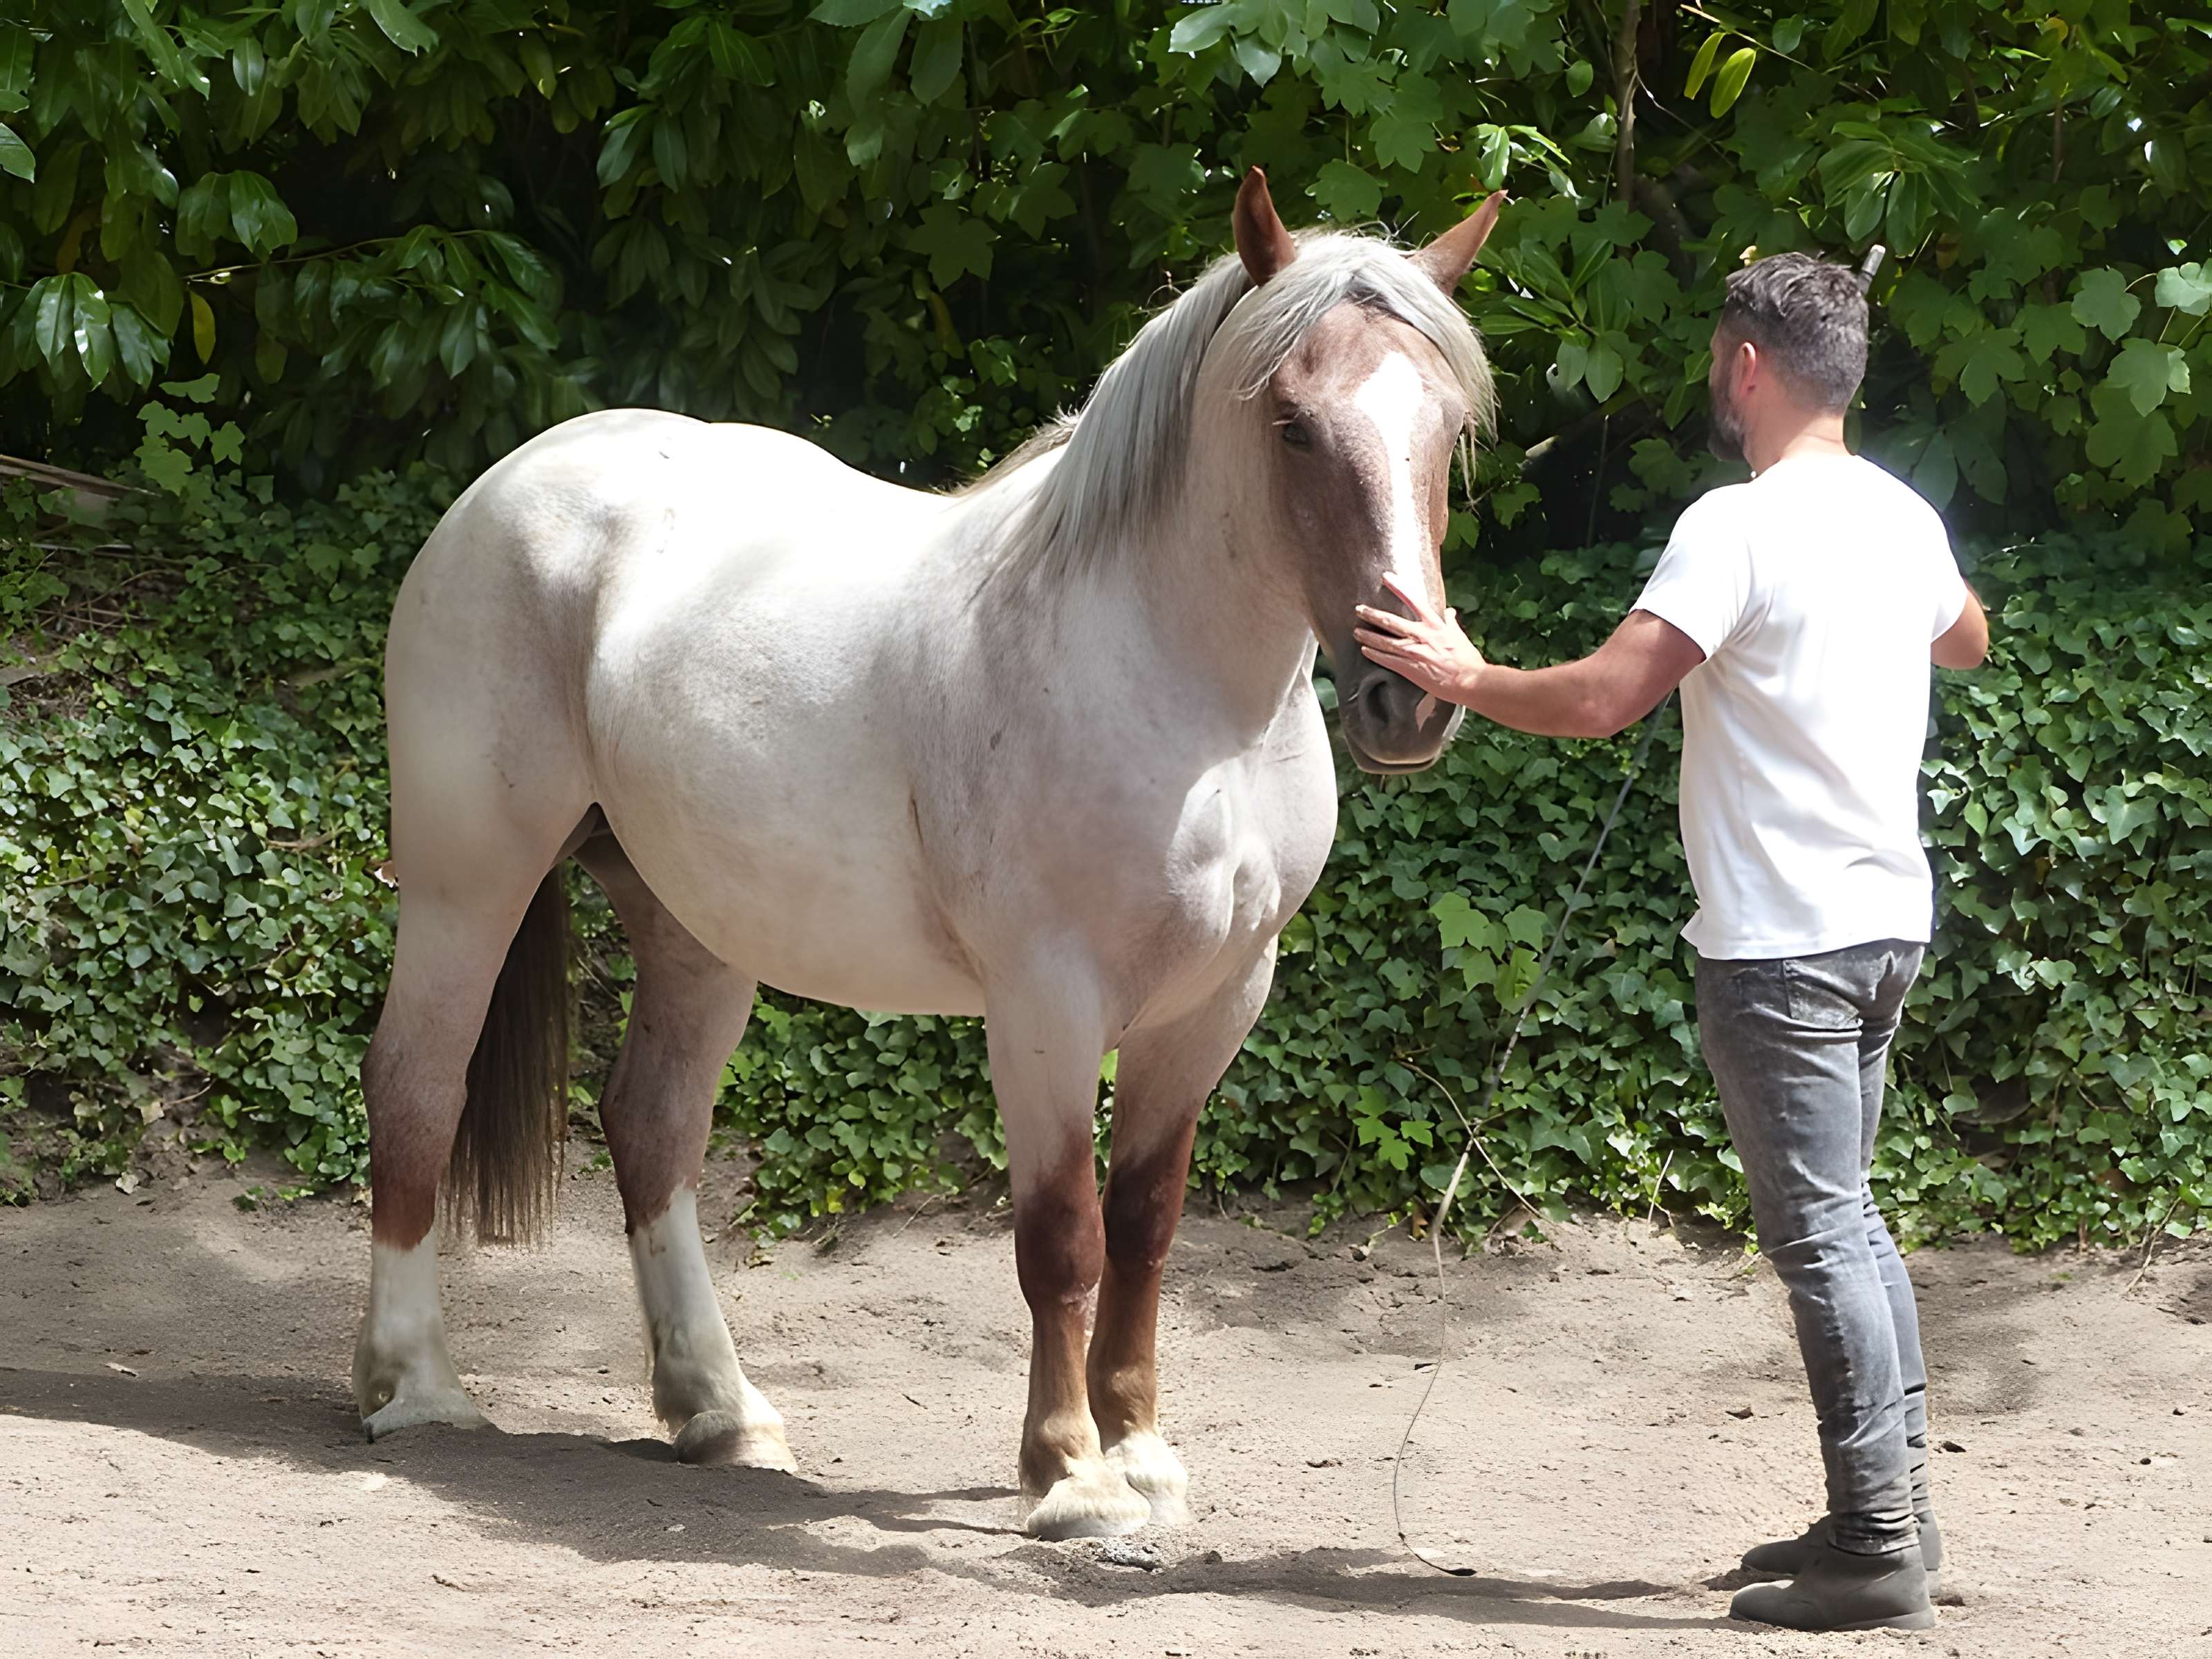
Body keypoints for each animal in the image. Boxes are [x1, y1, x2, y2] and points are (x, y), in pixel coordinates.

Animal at [351, 168, 1502, 1540]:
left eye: (1445, 428)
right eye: (1291, 425)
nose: (1409, 697)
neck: (1175, 689)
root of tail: (514, 481)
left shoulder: (1214, 1004)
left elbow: (1147, 1225)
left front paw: (1142, 1453)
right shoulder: (1047, 1004)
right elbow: (1063, 1237)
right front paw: (1069, 1476)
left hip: (695, 926)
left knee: (652, 1129)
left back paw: (720, 1412)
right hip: (468, 886)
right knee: (416, 1090)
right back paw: (413, 1389)